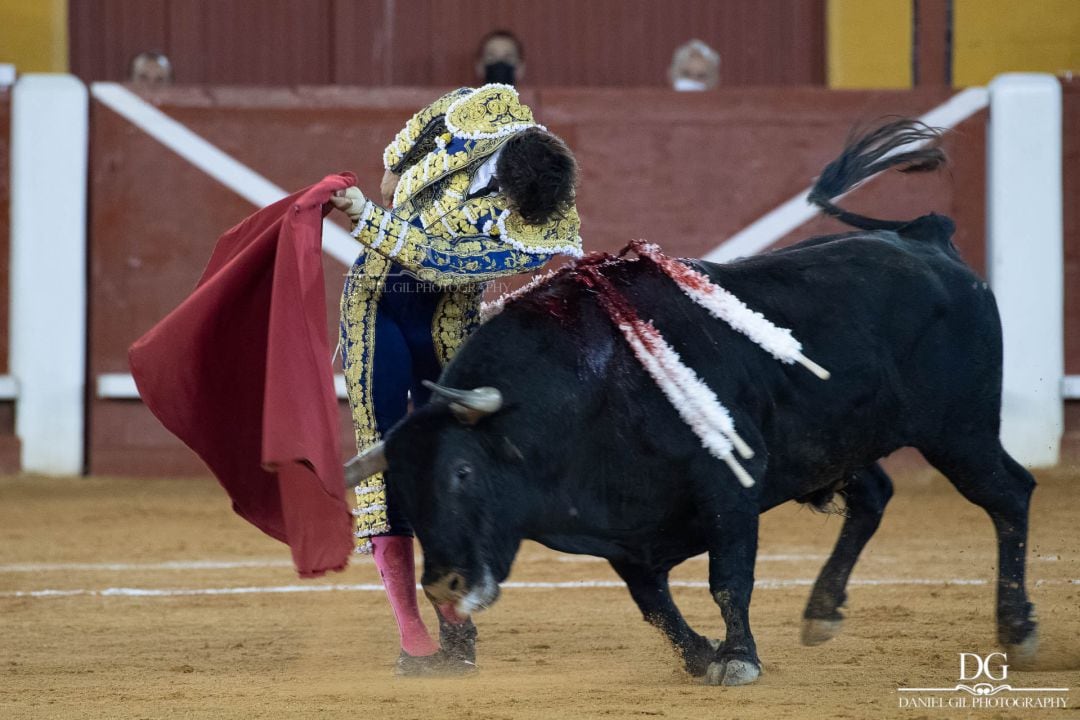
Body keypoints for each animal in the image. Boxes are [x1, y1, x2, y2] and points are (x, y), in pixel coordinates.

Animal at [345, 122, 1036, 686]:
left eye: (463, 471)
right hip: (841, 442)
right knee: (875, 495)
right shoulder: (624, 532)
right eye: (403, 486)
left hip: (960, 431)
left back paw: (1019, 629)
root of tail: (928, 239)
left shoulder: (730, 483)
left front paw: (737, 659)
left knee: (1009, 495)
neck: (590, 390)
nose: (444, 584)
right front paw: (702, 656)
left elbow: (727, 580)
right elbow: (654, 605)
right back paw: (822, 612)